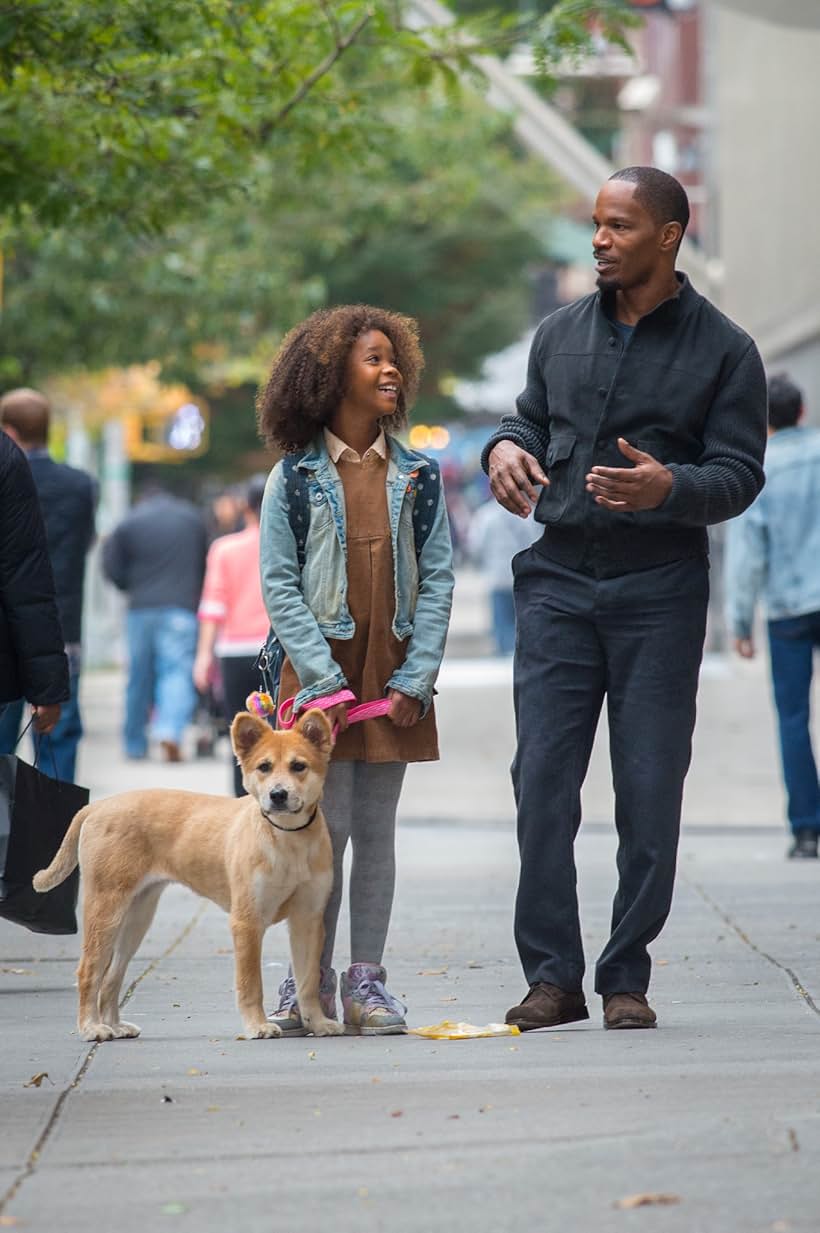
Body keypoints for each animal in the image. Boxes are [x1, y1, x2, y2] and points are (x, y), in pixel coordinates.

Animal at [32, 715, 342, 1040]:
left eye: (299, 766)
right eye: (264, 767)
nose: (278, 795)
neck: (287, 839)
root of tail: (98, 806)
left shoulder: (308, 920)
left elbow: (308, 981)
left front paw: (318, 1023)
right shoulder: (247, 921)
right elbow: (250, 983)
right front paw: (257, 1025)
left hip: (136, 918)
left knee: (112, 976)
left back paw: (115, 1025)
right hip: (105, 910)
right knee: (90, 971)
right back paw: (92, 1027)